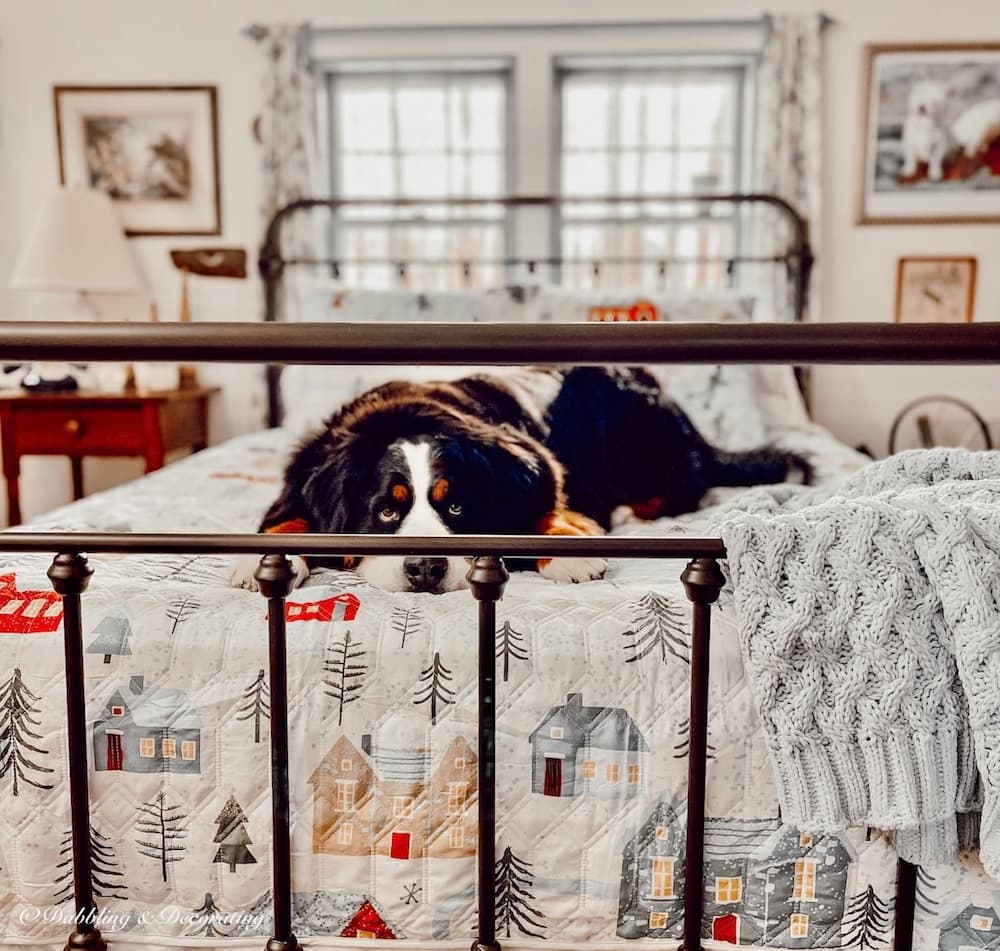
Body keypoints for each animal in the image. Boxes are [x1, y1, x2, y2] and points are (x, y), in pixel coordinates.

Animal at [230, 366, 808, 596]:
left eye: (457, 508)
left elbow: (545, 510)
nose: (425, 567)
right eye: (387, 511)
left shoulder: (536, 469)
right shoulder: (300, 480)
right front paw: (258, 560)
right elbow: (287, 520)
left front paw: (572, 552)